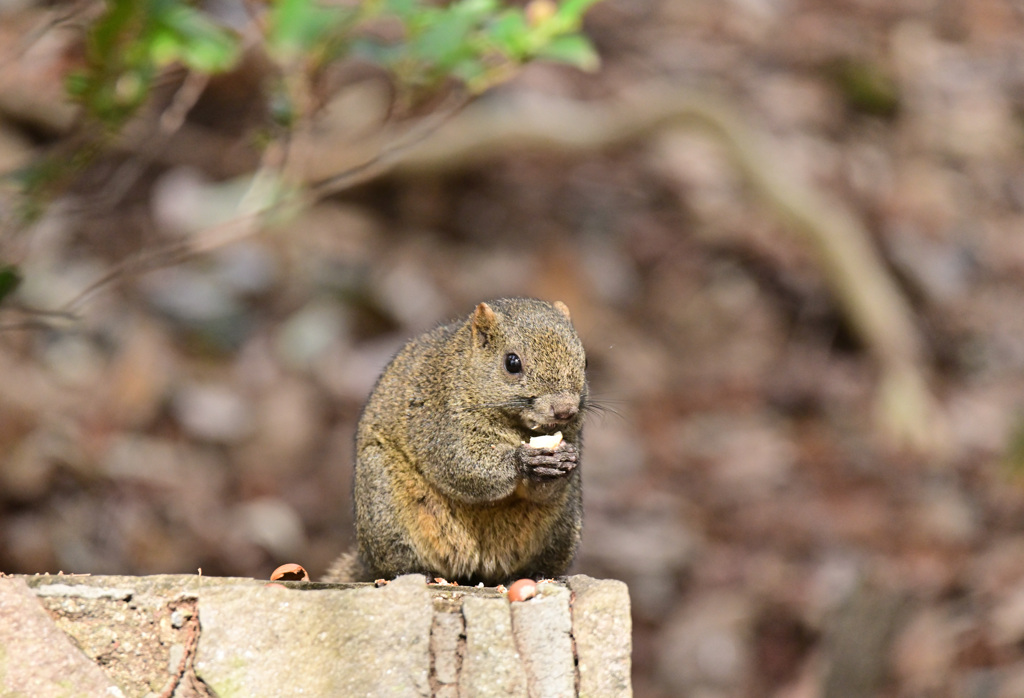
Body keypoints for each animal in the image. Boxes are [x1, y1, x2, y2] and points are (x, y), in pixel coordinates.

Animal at [323, 296, 589, 585]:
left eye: (585, 361)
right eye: (512, 363)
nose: (565, 410)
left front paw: (565, 460)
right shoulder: (439, 420)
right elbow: (462, 463)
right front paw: (523, 460)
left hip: (562, 525)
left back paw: (534, 574)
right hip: (382, 501)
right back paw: (417, 573)